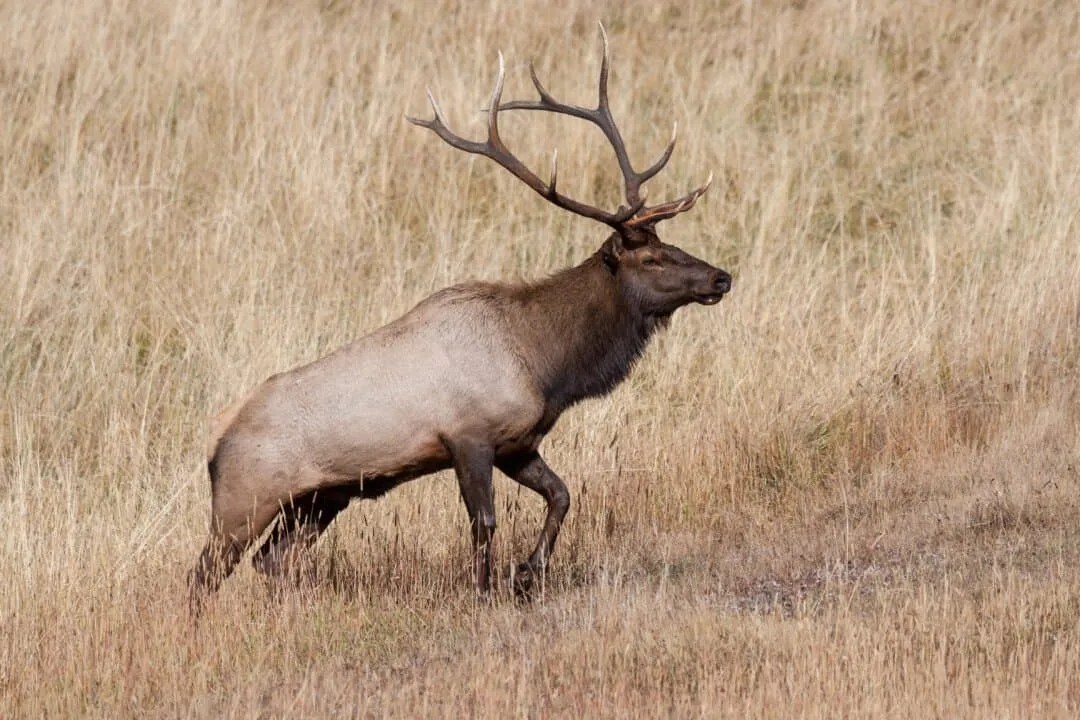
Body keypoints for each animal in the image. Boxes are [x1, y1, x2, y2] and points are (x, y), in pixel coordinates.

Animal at [188, 25, 731, 612]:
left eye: (672, 243)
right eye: (650, 258)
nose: (720, 277)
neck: (546, 363)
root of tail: (215, 441)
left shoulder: (519, 442)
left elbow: (562, 495)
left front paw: (528, 573)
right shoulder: (467, 435)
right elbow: (484, 522)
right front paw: (487, 592)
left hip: (323, 497)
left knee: (273, 559)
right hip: (244, 498)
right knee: (204, 573)